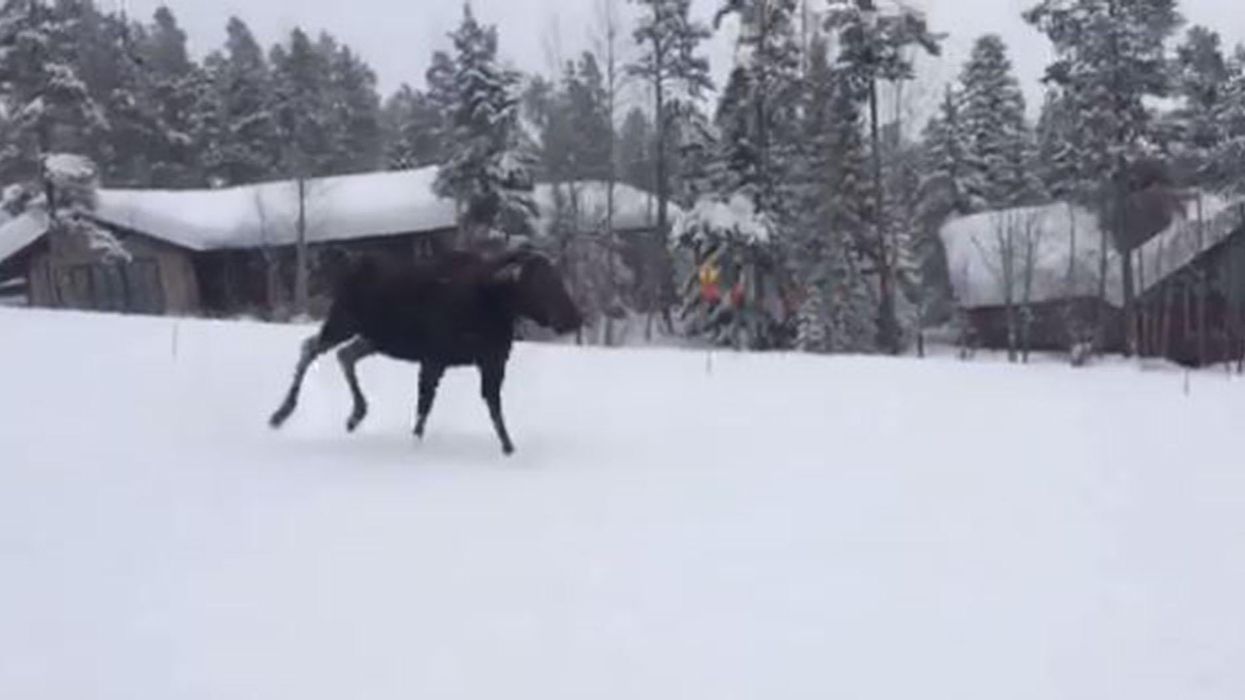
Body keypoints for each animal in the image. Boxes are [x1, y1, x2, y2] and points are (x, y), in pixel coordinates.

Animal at [270, 245, 580, 453]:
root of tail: (347, 272)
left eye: (558, 278)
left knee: (344, 354)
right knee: (310, 348)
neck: (494, 305)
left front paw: (509, 448)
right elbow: (424, 408)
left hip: (373, 338)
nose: (574, 317)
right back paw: (281, 413)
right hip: (342, 322)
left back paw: (356, 414)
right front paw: (416, 445)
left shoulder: (492, 362)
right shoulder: (434, 359)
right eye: (537, 283)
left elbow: (494, 407)